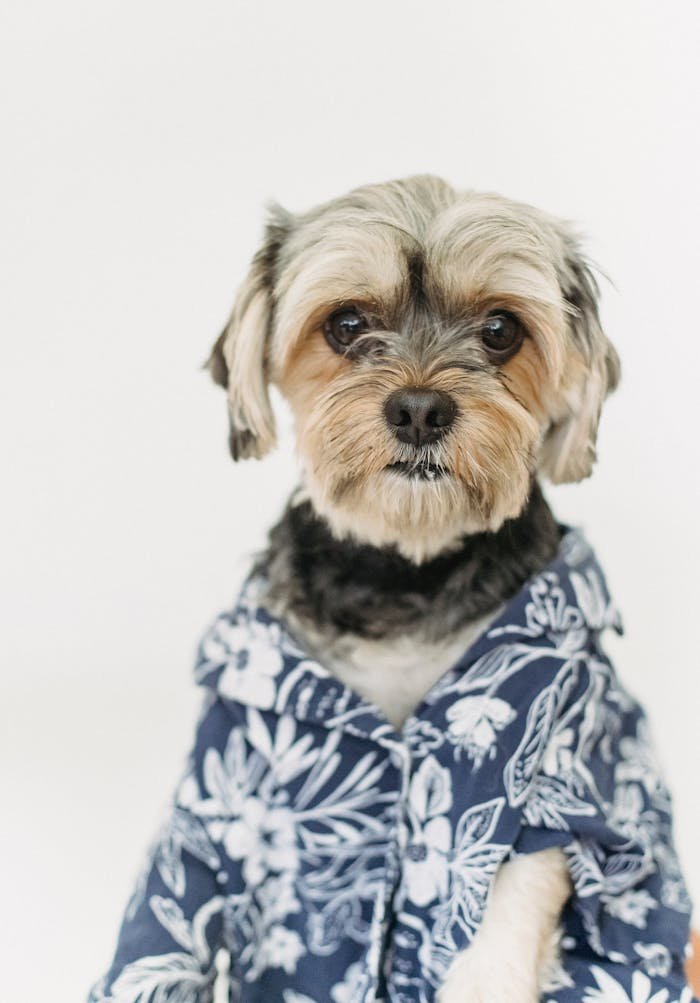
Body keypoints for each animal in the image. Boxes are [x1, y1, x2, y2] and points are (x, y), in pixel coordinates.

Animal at [88, 176, 693, 1003]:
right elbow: (167, 913)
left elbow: (494, 919)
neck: (406, 577)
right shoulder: (221, 789)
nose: (419, 408)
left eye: (501, 330)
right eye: (345, 324)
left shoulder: (543, 788)